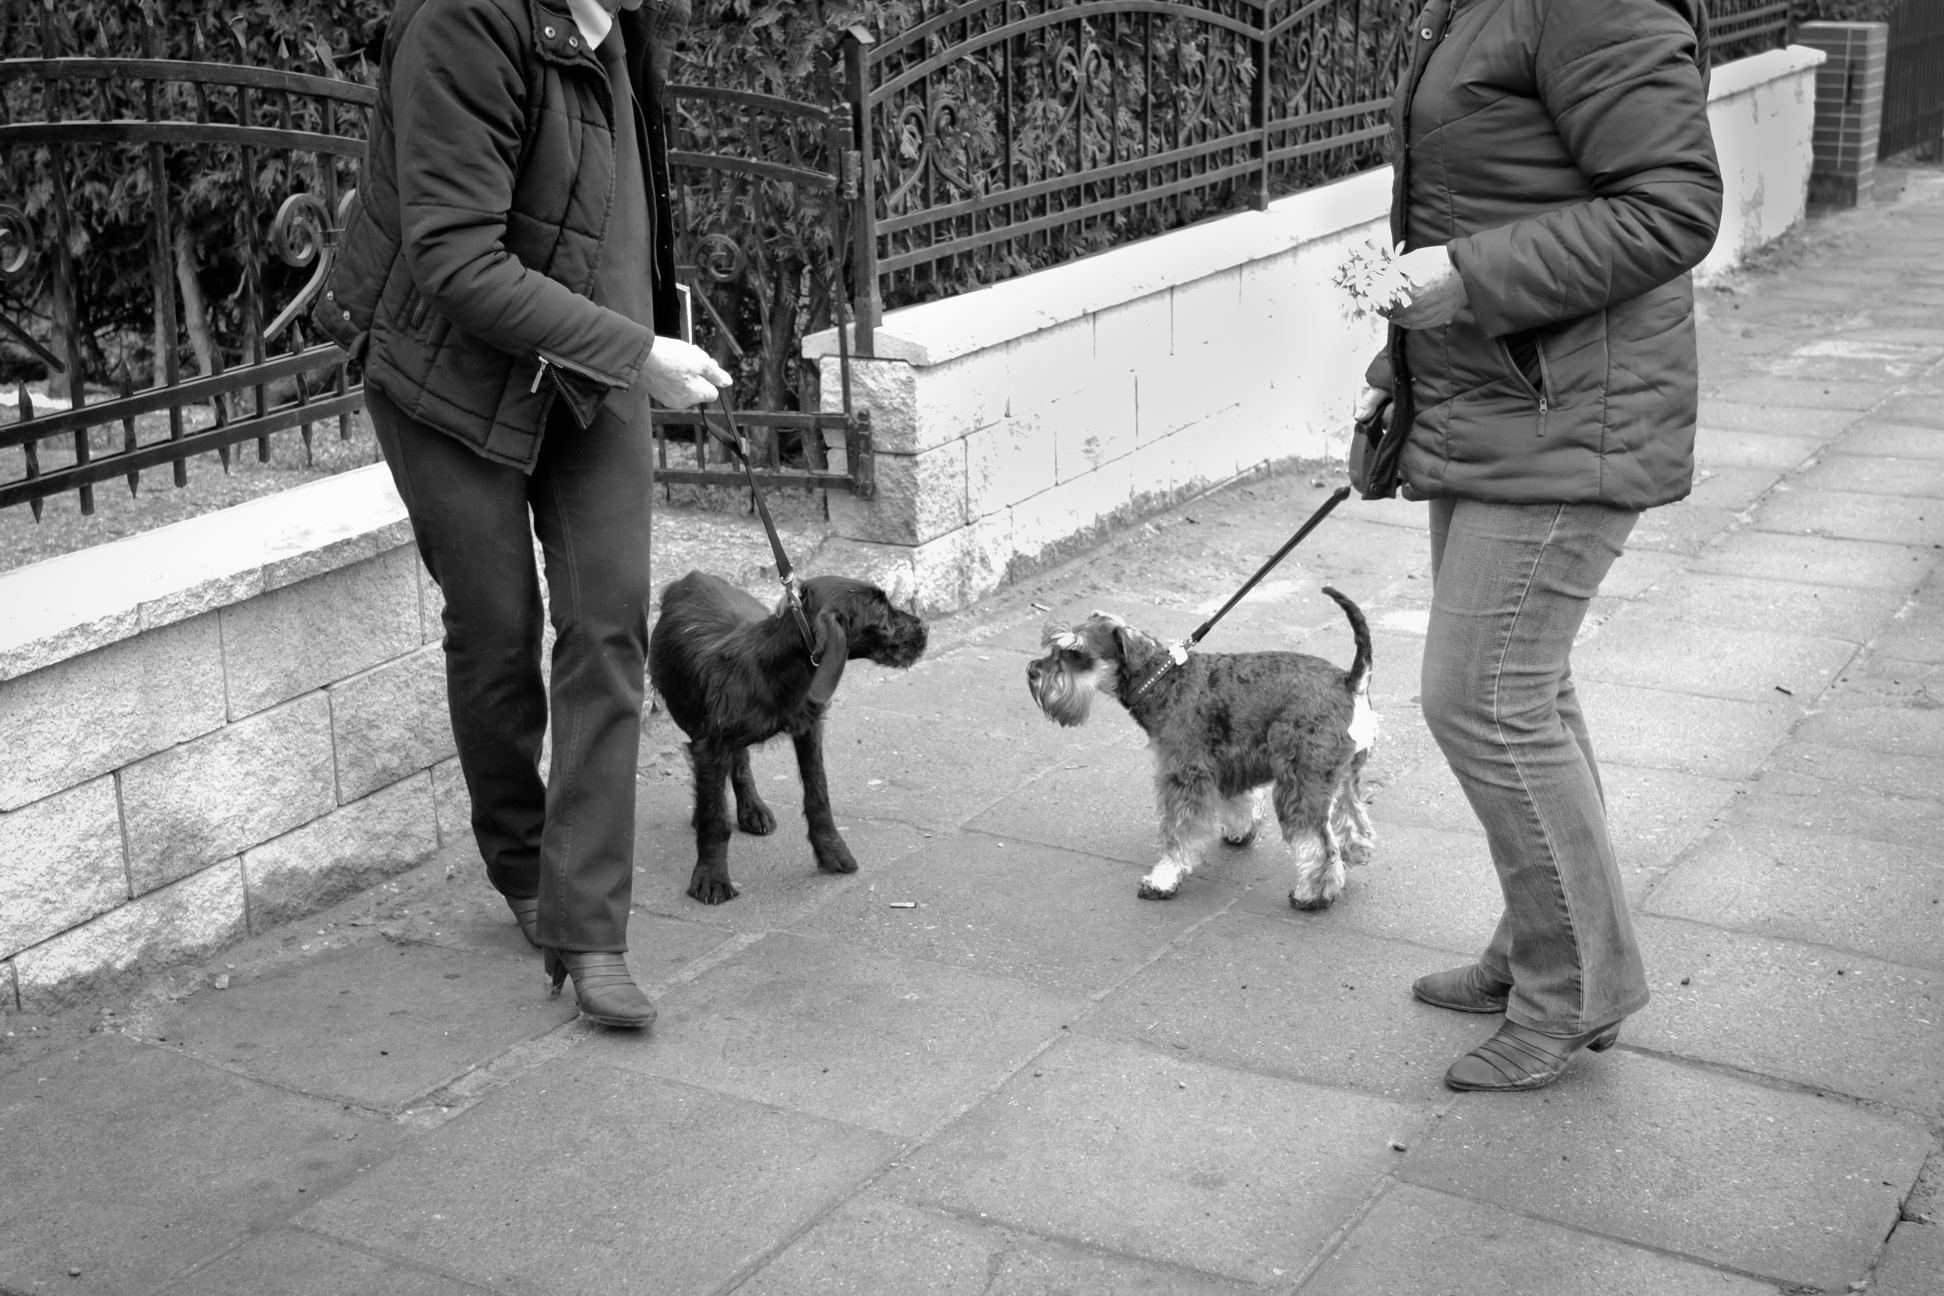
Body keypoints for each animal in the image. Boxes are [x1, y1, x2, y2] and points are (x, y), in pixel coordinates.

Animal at [648, 572, 928, 904]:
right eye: (881, 611)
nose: (925, 626)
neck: (775, 666)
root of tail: (694, 577)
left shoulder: (809, 729)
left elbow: (818, 795)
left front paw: (832, 850)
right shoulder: (710, 745)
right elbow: (715, 819)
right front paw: (711, 878)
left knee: (740, 760)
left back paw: (752, 810)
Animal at [1025, 587, 1375, 910]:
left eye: (1075, 653)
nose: (1032, 672)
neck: (1160, 679)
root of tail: (1350, 681)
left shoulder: (1183, 774)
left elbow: (1176, 834)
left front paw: (1162, 879)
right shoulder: (1227, 761)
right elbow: (1238, 800)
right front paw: (1240, 830)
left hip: (1302, 779)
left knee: (1319, 843)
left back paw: (1312, 895)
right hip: (1341, 774)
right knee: (1352, 817)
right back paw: (1352, 854)